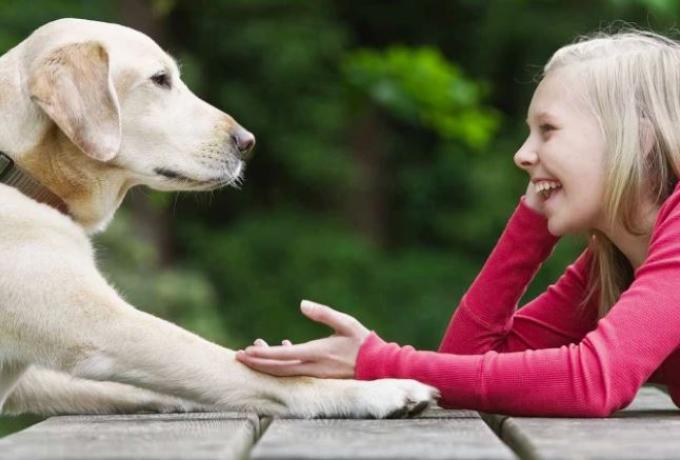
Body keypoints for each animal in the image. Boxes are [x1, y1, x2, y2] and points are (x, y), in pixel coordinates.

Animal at [0, 18, 436, 416]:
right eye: (160, 79)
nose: (248, 142)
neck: (21, 170)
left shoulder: (33, 380)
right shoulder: (103, 329)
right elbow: (251, 372)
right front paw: (378, 390)